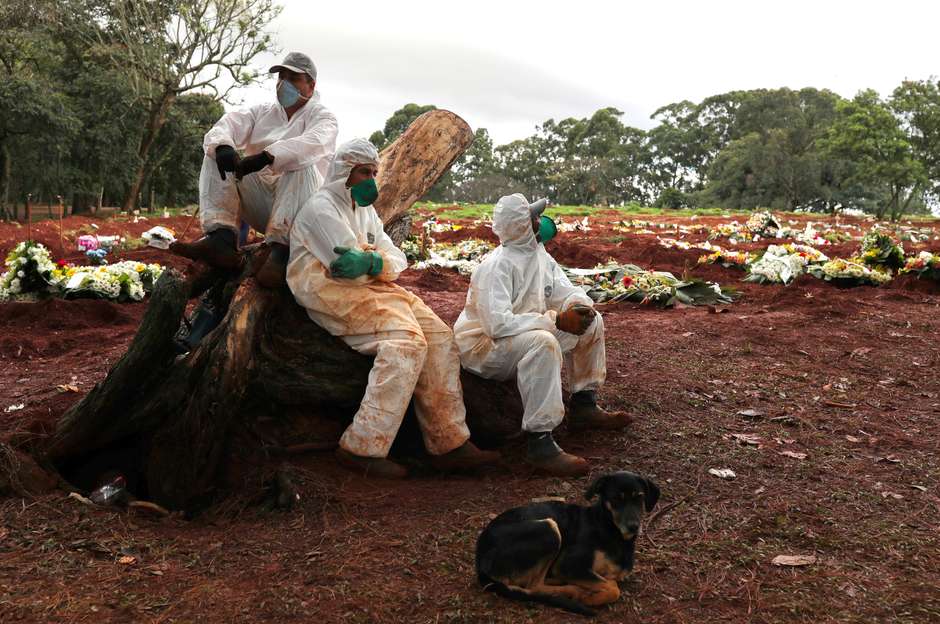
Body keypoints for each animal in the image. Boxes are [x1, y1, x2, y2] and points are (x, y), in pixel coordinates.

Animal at [474, 472, 656, 616]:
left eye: (639, 498)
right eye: (616, 499)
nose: (634, 526)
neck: (609, 527)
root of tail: (480, 561)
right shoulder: (568, 565)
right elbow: (613, 588)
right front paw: (589, 598)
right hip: (548, 529)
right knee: (534, 586)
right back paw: (574, 591)